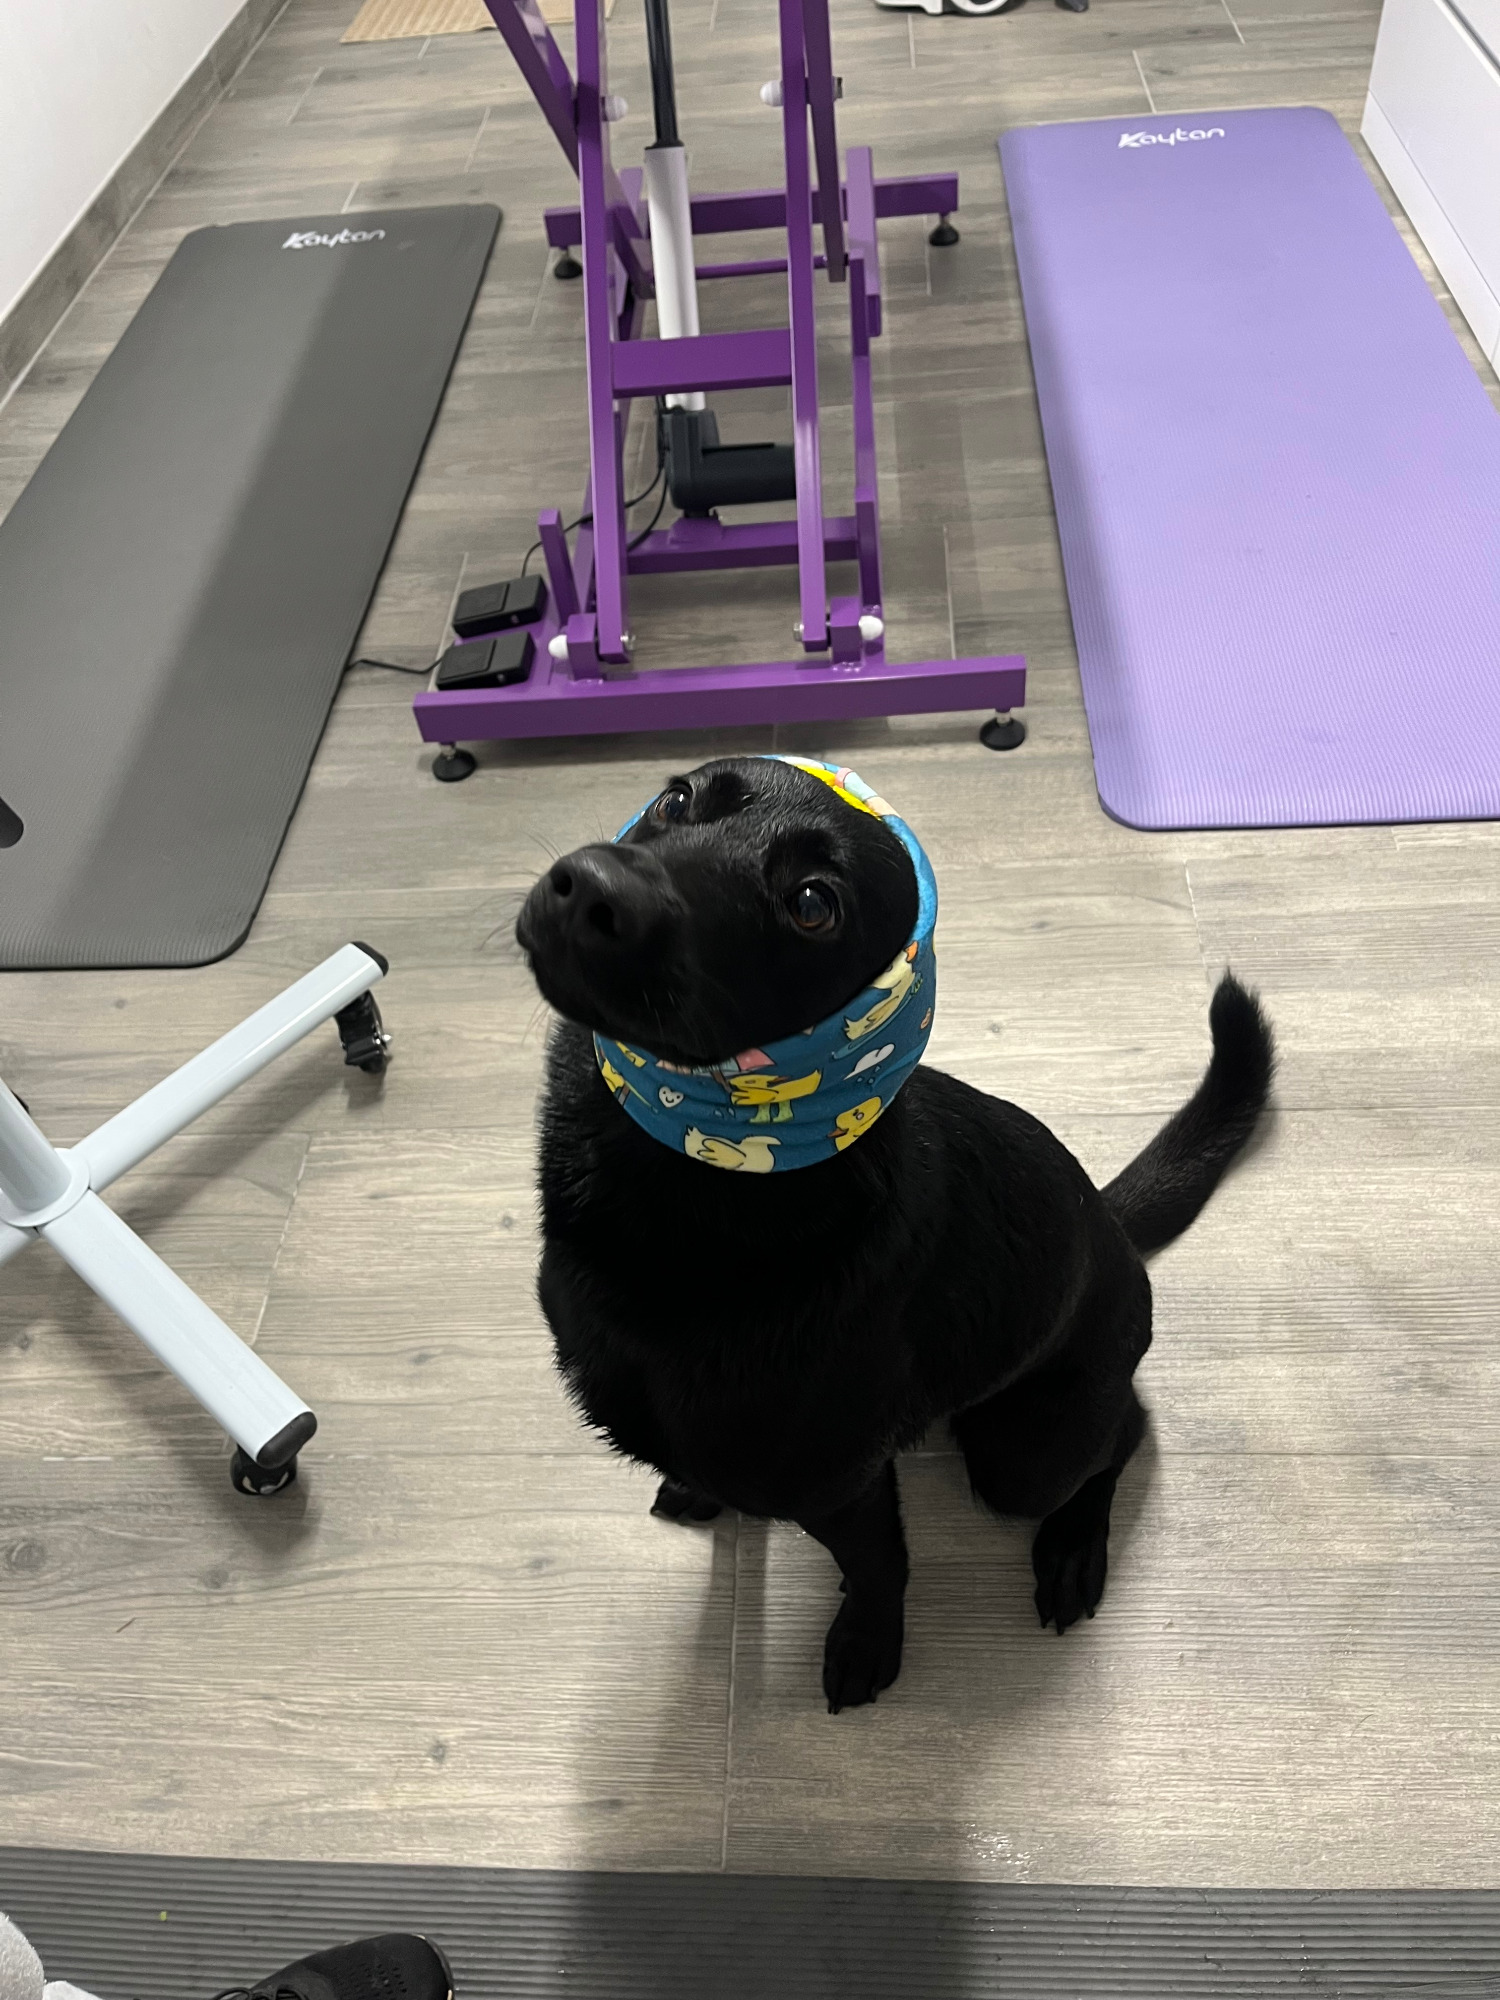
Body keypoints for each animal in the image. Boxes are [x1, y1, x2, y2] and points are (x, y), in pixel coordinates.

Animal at [517, 754, 1273, 1711]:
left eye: (813, 902)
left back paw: (1073, 1545)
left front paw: (869, 1642)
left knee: (1127, 1431)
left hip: (1026, 1454)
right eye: (677, 798)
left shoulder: (837, 1482)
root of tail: (1108, 1219)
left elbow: (879, 1565)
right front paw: (695, 1492)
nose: (589, 888)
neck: (694, 1169)